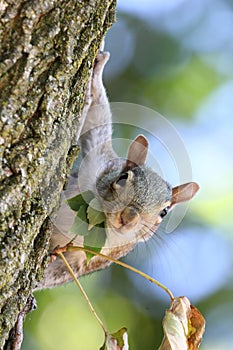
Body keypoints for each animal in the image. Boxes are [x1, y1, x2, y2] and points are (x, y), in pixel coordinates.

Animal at [36, 50, 198, 290]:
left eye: (164, 212)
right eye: (122, 177)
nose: (128, 217)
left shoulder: (90, 258)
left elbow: (56, 273)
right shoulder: (98, 162)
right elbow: (96, 127)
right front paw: (96, 73)